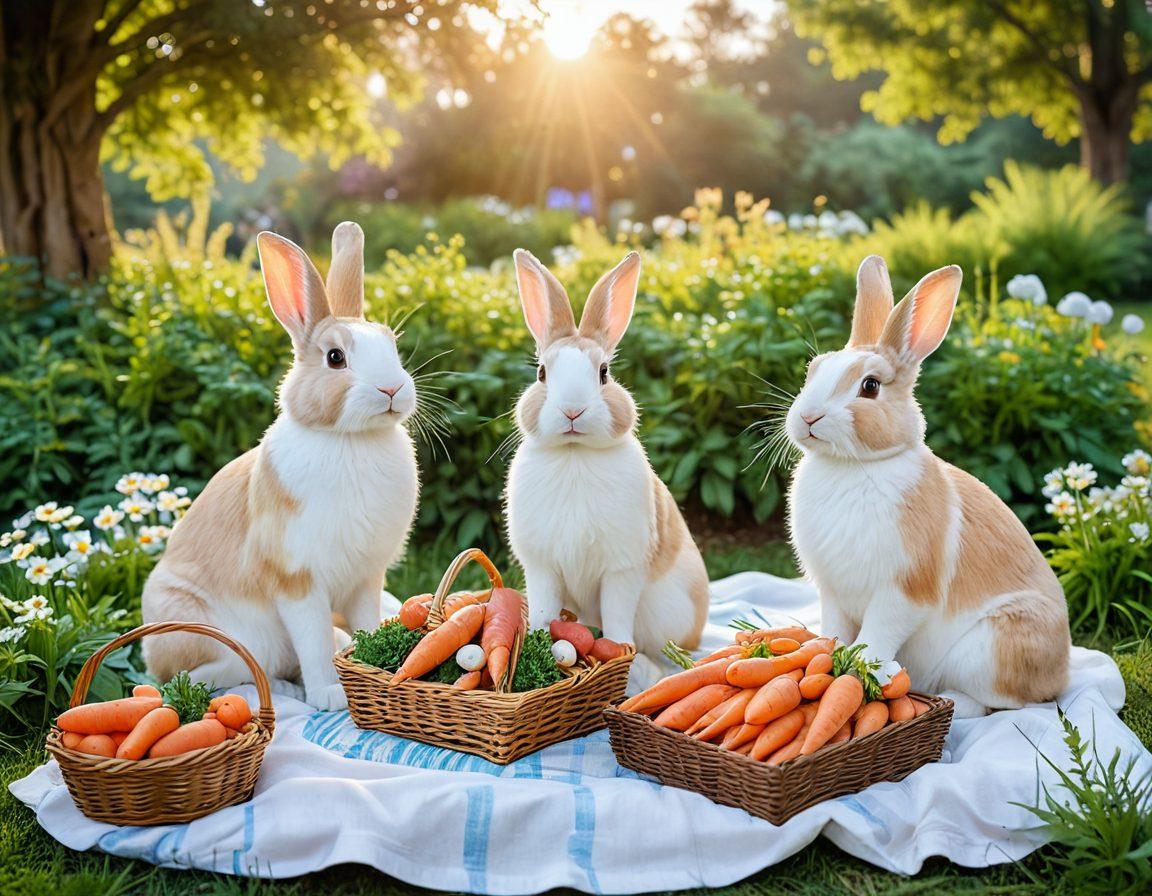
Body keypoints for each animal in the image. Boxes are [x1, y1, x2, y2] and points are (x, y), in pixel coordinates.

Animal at [142, 222, 420, 710]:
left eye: (393, 345)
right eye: (335, 357)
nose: (392, 389)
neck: (351, 440)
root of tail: (148, 652)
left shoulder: (366, 577)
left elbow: (365, 624)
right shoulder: (297, 580)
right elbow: (312, 641)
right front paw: (330, 695)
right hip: (206, 636)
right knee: (201, 677)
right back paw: (285, 687)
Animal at [504, 249, 710, 689]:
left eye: (604, 374)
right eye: (541, 373)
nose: (572, 410)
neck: (575, 452)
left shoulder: (621, 569)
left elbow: (617, 617)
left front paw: (617, 654)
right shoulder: (542, 568)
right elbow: (544, 612)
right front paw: (535, 648)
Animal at [785, 255, 1071, 718]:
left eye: (870, 386)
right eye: (812, 371)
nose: (808, 417)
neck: (854, 465)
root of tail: (1062, 673)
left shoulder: (903, 589)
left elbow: (877, 636)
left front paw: (865, 673)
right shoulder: (833, 592)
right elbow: (835, 630)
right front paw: (826, 658)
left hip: (991, 650)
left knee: (1003, 706)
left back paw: (953, 702)